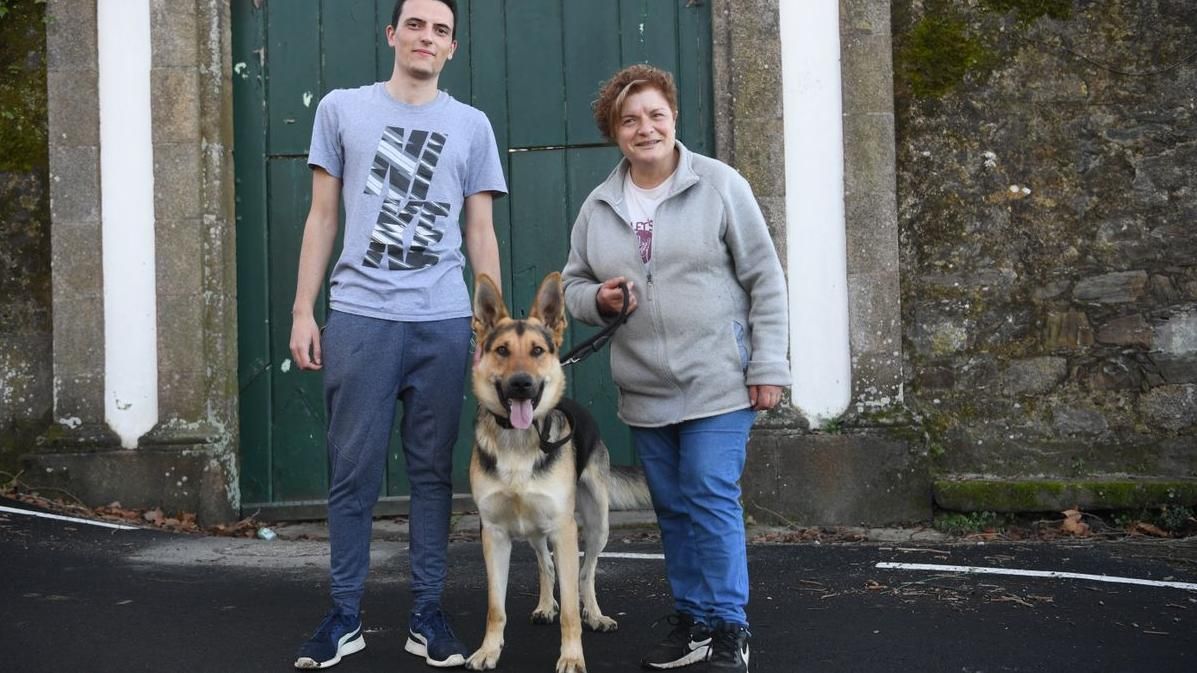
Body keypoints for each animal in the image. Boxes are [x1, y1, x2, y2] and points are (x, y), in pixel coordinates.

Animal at [464, 273, 651, 670]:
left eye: (537, 351)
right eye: (502, 350)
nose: (522, 384)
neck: (518, 441)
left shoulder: (565, 531)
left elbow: (571, 605)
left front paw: (572, 656)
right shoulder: (494, 534)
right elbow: (495, 607)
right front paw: (489, 650)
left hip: (596, 525)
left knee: (586, 573)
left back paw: (595, 614)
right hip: (536, 528)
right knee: (545, 564)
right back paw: (545, 605)